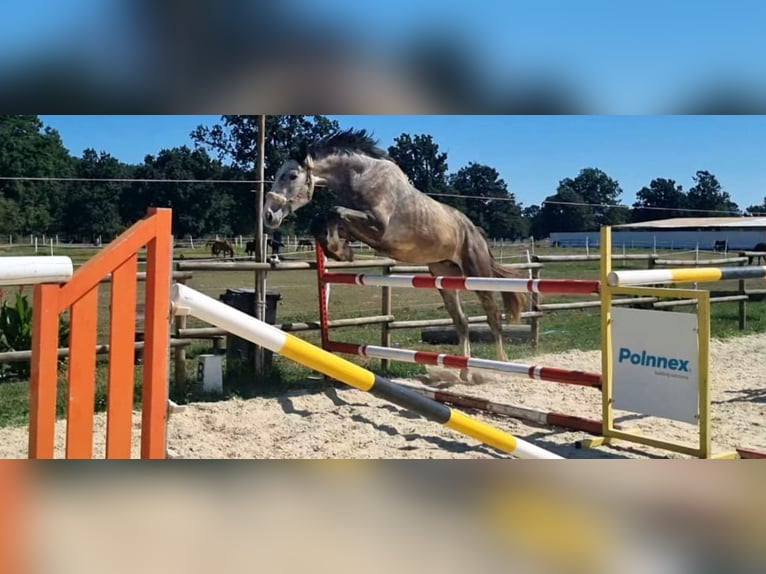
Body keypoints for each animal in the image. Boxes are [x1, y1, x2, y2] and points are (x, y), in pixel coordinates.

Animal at [263, 128, 527, 368]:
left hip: (476, 272)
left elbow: (335, 211)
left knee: (493, 316)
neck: (361, 177)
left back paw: (502, 364)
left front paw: (340, 250)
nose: (268, 216)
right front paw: (339, 250)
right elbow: (325, 221)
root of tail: (475, 231)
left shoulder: (378, 227)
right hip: (444, 275)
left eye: (291, 176)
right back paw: (465, 371)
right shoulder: (360, 226)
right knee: (461, 321)